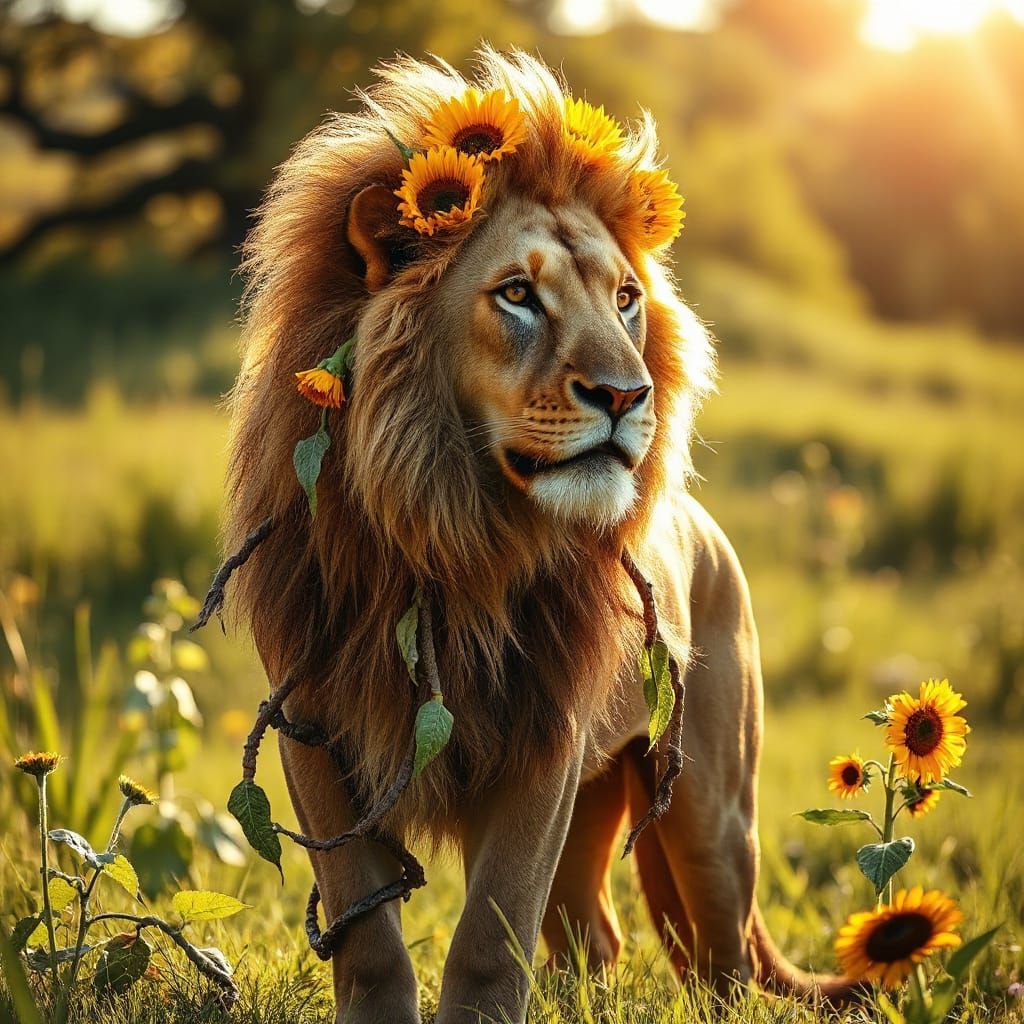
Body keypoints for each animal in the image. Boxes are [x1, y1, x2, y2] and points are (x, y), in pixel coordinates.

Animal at [224, 47, 850, 1024]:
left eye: (627, 300)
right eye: (518, 295)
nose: (629, 395)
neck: (450, 533)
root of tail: (707, 529)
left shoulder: (542, 743)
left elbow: (489, 942)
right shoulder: (315, 731)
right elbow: (368, 940)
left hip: (710, 812)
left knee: (723, 965)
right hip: (600, 803)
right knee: (594, 937)